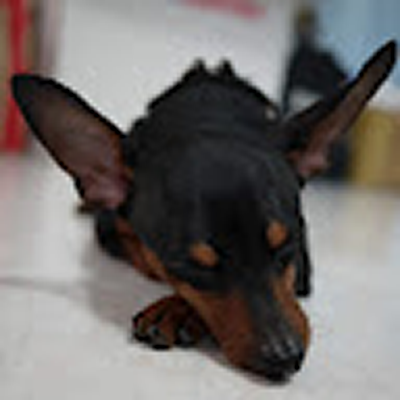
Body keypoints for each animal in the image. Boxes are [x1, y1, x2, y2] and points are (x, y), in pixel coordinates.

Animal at [11, 41, 396, 382]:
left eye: (289, 246)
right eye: (192, 267)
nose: (285, 356)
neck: (210, 111)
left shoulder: (303, 267)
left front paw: (175, 309)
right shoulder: (111, 231)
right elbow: (148, 258)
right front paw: (175, 302)